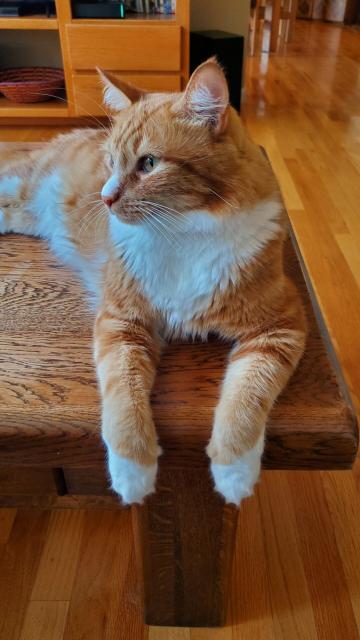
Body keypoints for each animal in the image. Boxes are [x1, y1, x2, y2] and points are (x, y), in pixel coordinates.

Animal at [0, 62, 306, 508]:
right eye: (110, 161)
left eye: (148, 163)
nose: (105, 197)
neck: (182, 233)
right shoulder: (122, 323)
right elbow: (123, 395)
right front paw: (133, 470)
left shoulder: (279, 327)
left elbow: (247, 396)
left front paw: (234, 469)